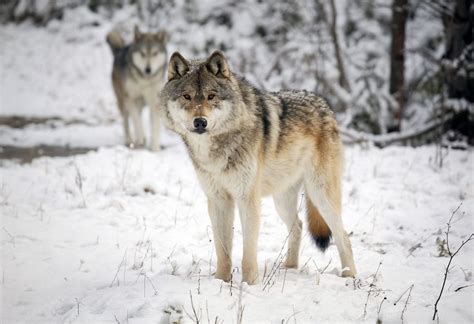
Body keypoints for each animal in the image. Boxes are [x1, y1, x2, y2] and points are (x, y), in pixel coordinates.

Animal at [159, 50, 356, 284]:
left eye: (211, 96)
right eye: (187, 97)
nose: (200, 122)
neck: (217, 148)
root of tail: (324, 104)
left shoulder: (247, 198)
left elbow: (248, 251)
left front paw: (250, 284)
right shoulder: (218, 200)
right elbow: (223, 250)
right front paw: (221, 281)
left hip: (321, 195)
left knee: (343, 235)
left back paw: (349, 275)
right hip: (282, 201)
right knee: (298, 226)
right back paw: (289, 268)